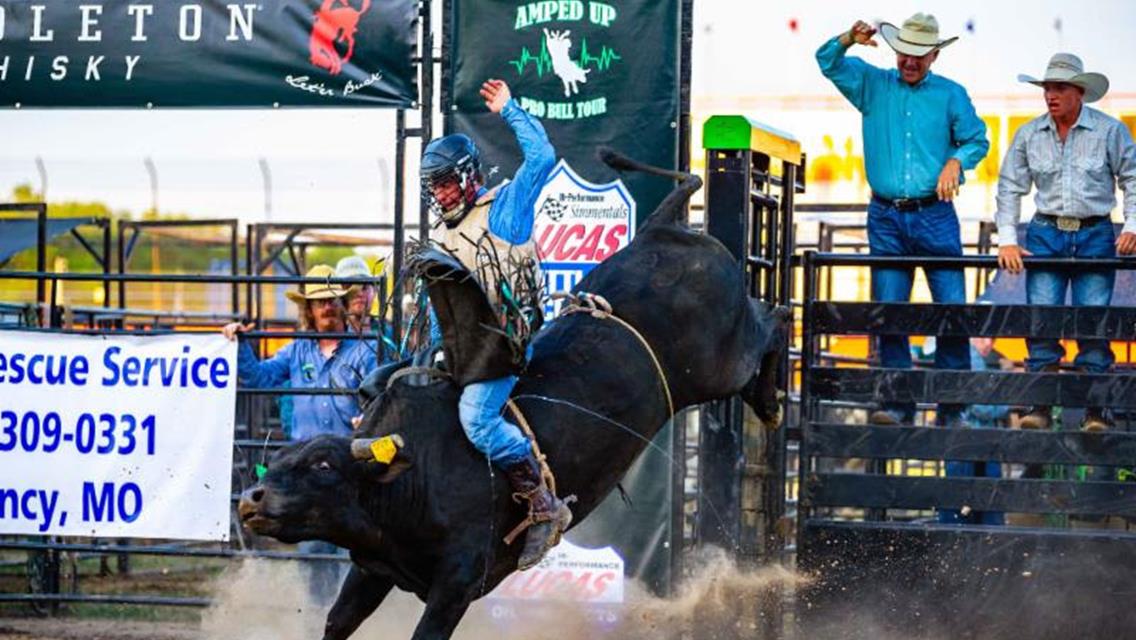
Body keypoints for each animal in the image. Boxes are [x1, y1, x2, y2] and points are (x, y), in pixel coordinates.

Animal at [237, 147, 790, 636]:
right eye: (279, 460)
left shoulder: (458, 583)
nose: (249, 499)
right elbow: (337, 621)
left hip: (722, 362)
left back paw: (772, 401)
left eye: (323, 466)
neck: (416, 470)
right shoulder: (373, 568)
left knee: (775, 320)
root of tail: (662, 229)